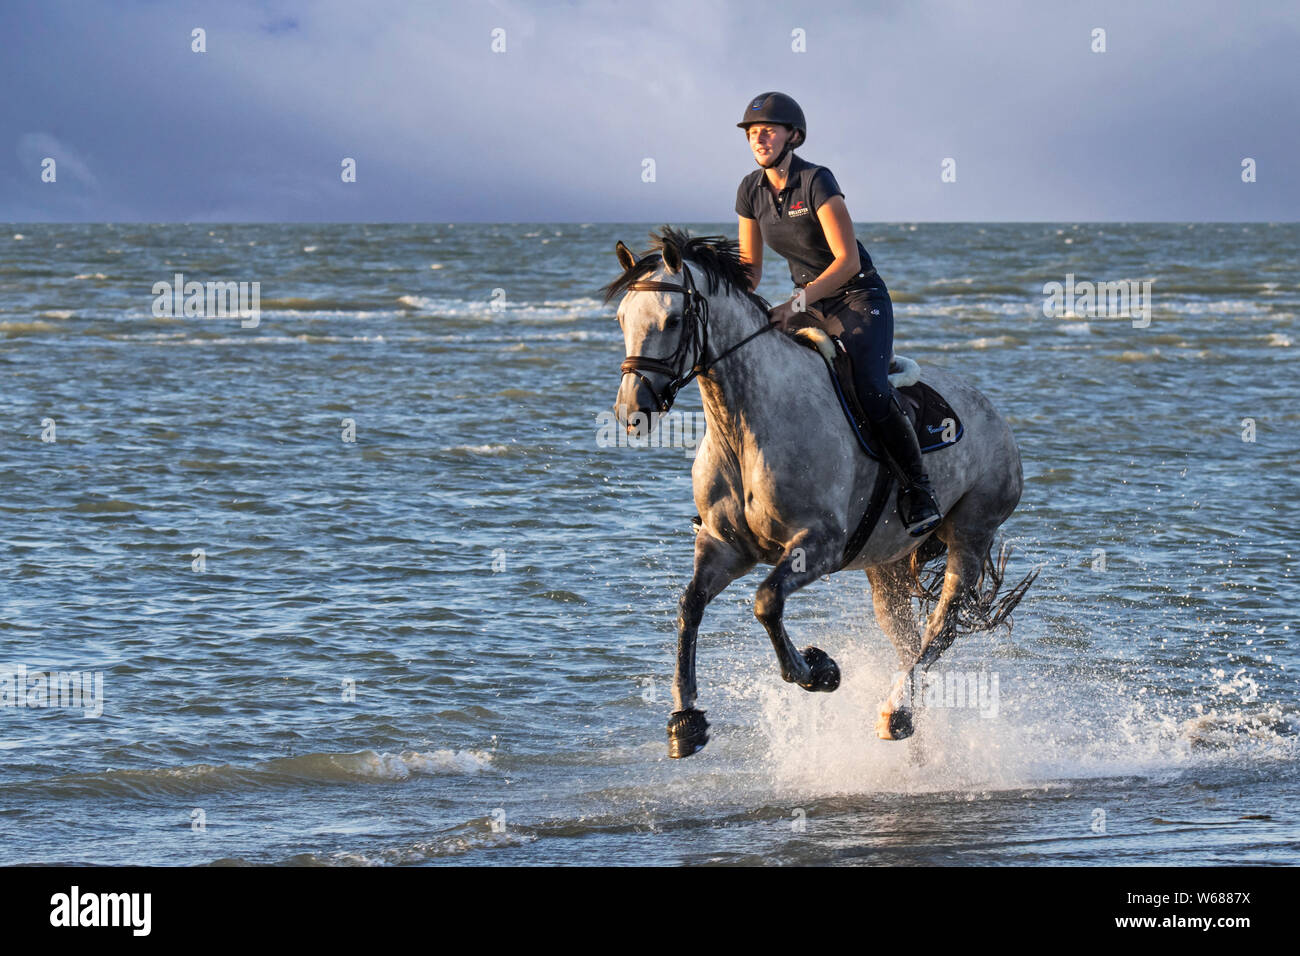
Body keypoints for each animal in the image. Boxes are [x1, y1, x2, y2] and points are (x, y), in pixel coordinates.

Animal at [601, 226, 1035, 758]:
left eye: (673, 319)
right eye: (622, 319)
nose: (631, 412)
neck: (744, 426)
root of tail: (995, 417)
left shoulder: (818, 546)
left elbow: (766, 602)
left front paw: (818, 671)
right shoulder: (725, 547)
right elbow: (689, 607)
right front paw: (685, 721)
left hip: (971, 534)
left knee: (942, 626)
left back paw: (897, 713)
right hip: (886, 567)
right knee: (908, 639)